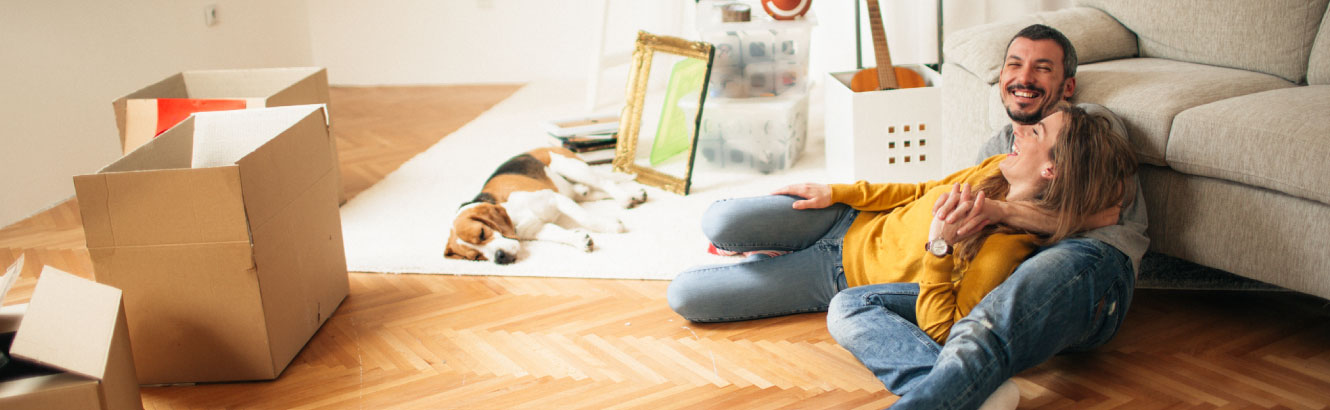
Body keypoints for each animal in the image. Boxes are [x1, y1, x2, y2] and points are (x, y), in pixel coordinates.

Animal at [444, 145, 646, 264]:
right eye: (476, 258)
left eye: (482, 233)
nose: (499, 258)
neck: (512, 214)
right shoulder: (538, 228)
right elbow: (559, 235)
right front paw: (579, 240)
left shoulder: (555, 199)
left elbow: (586, 218)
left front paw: (611, 226)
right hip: (578, 191)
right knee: (593, 191)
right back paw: (635, 195)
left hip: (574, 169)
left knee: (605, 182)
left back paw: (625, 197)